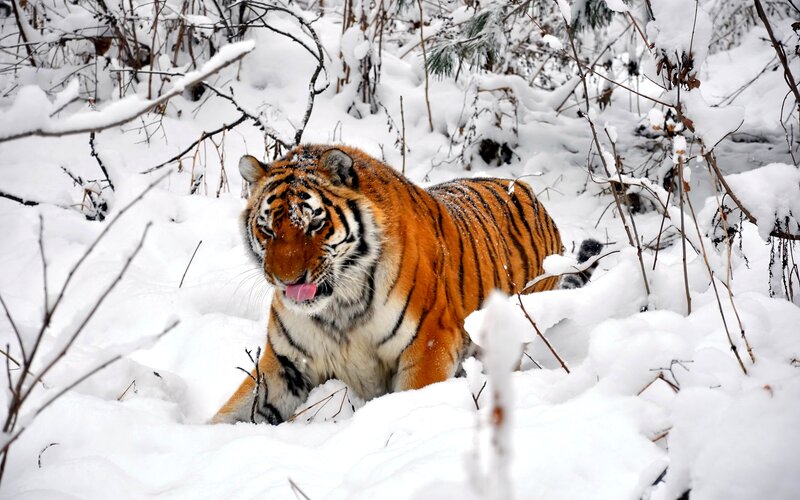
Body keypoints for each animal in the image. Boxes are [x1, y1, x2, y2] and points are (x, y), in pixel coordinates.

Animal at [211, 144, 599, 424]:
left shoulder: (428, 342)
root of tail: (528, 190)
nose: (287, 280)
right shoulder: (285, 364)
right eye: (267, 229)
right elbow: (234, 411)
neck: (340, 308)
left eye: (315, 224)